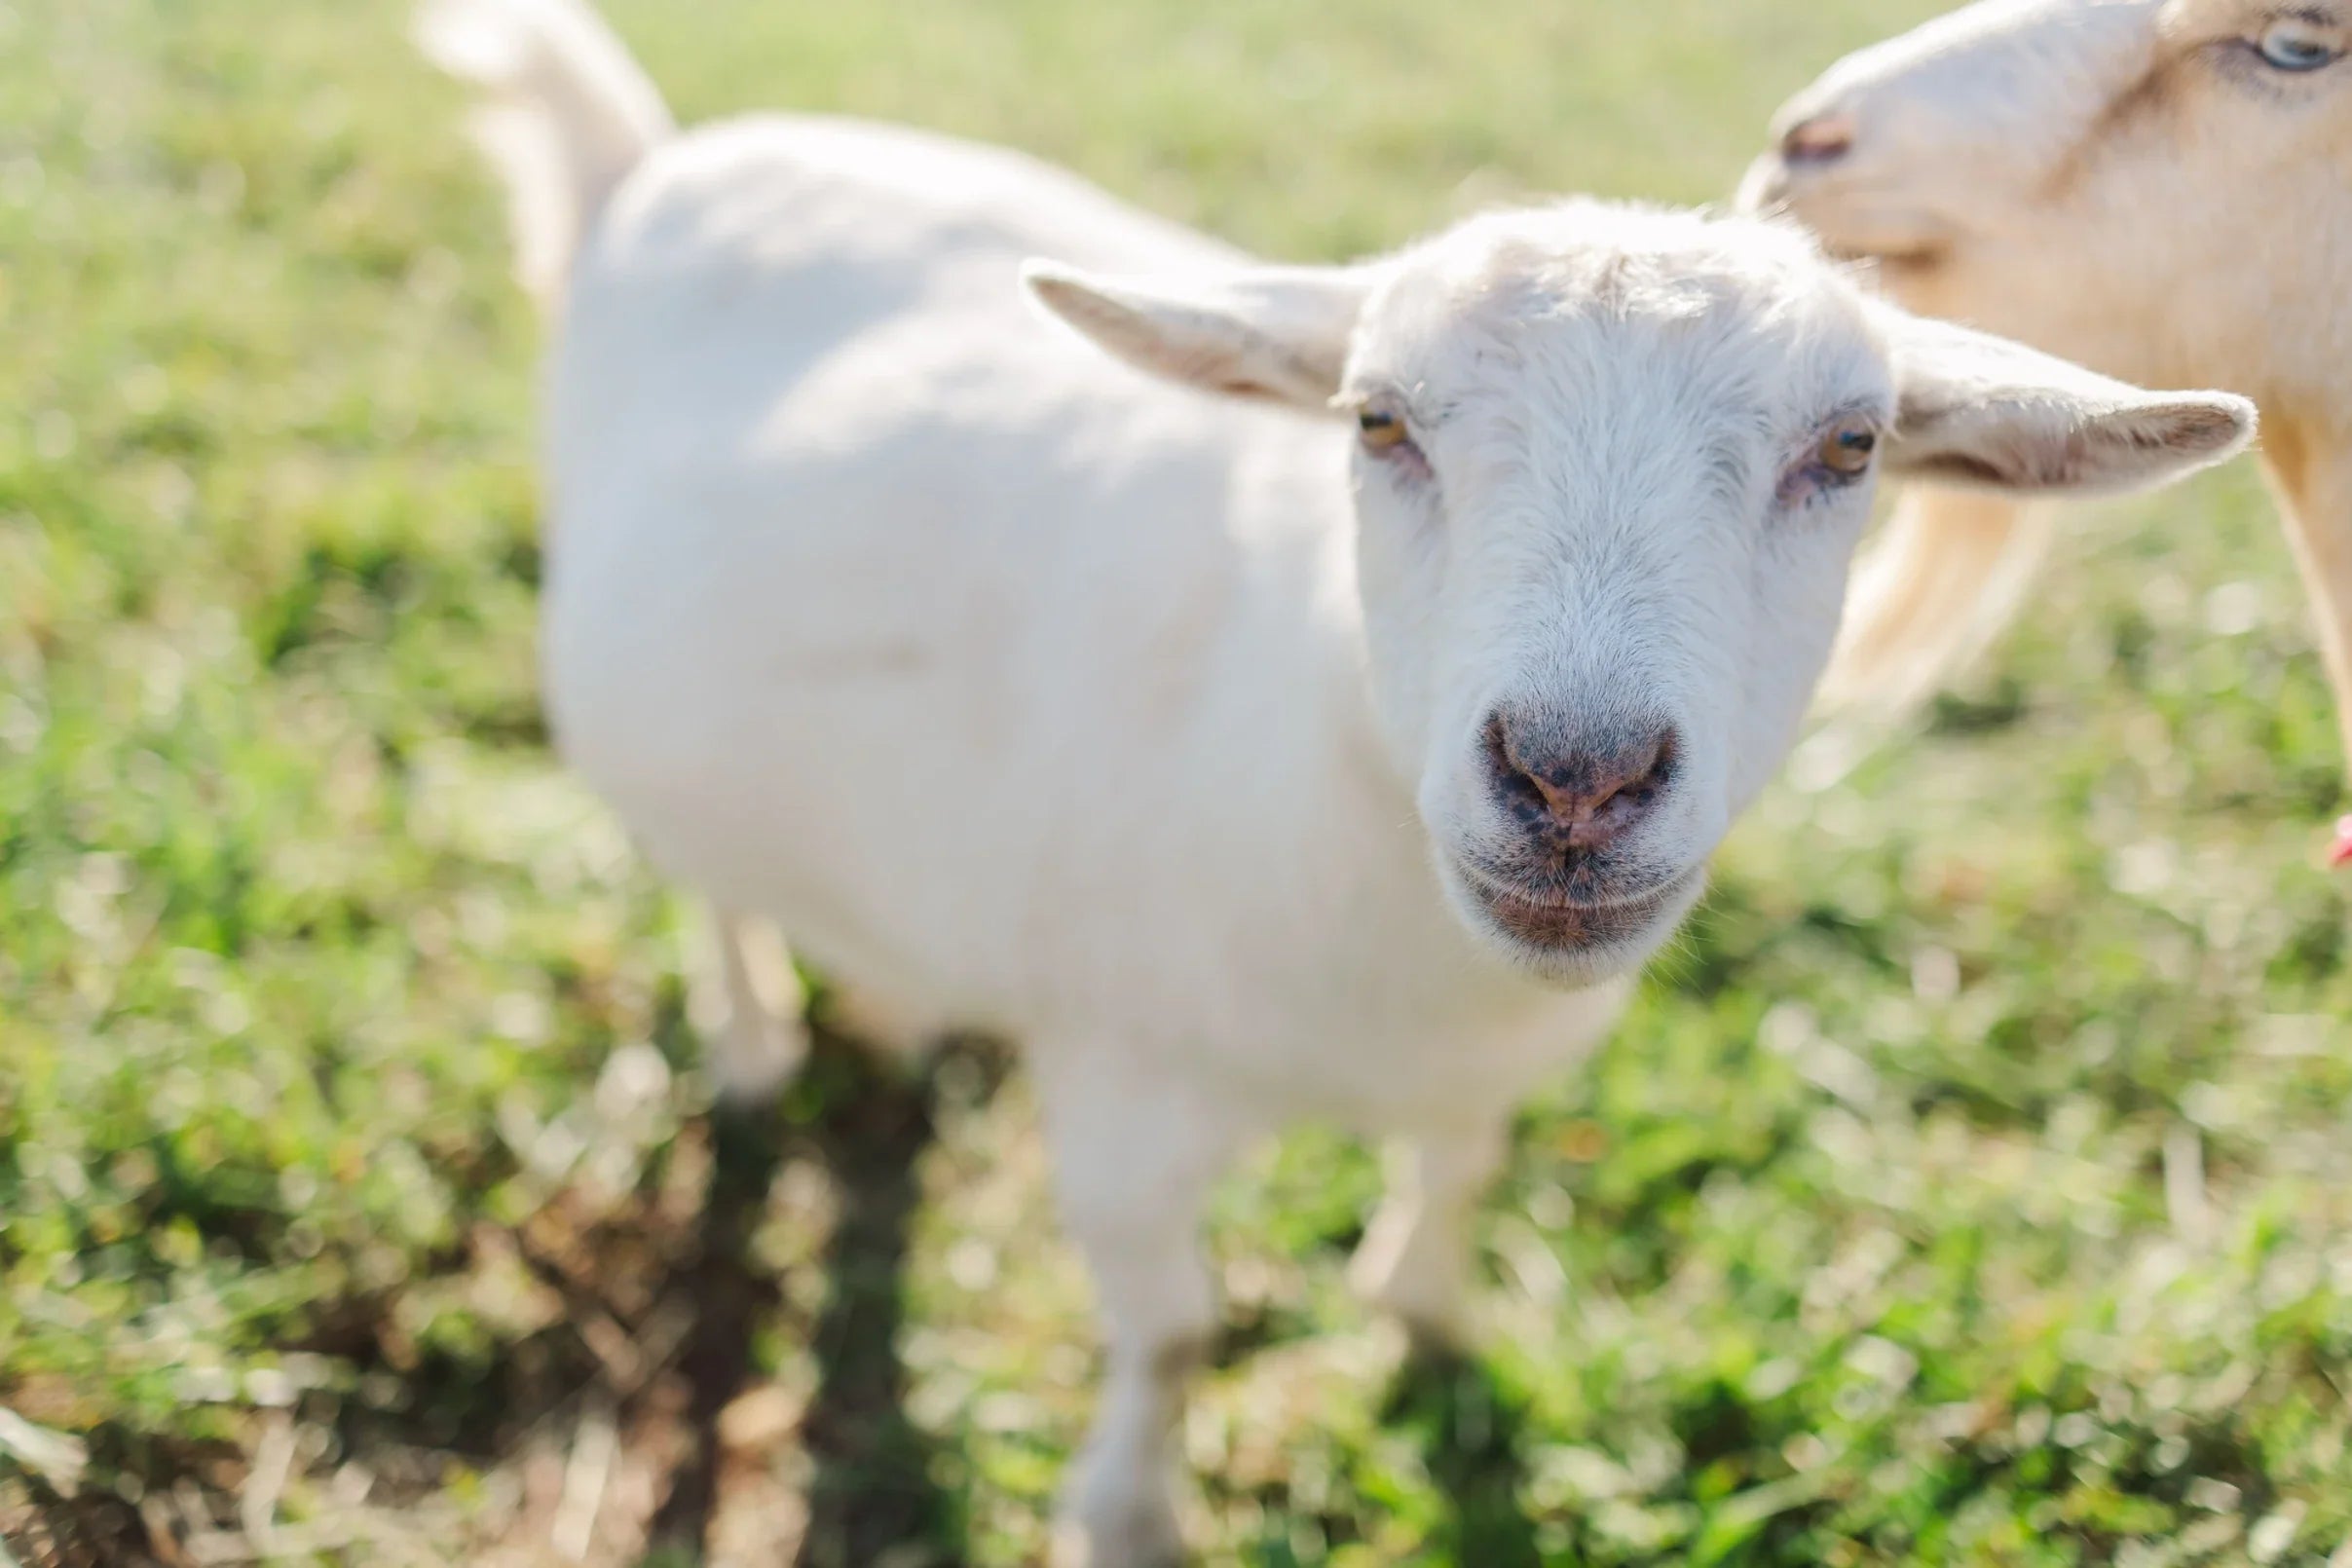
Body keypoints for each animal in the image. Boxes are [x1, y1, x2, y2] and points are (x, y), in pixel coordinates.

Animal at [422, 1, 2252, 1559]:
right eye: (1377, 423)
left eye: (1851, 449)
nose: (1572, 780)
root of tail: (651, 161)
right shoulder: (1120, 1090)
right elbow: (1173, 1332)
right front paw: (1126, 1515)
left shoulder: (1479, 1064)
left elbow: (1455, 1174)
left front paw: (1432, 1320)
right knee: (711, 889)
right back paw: (751, 1047)